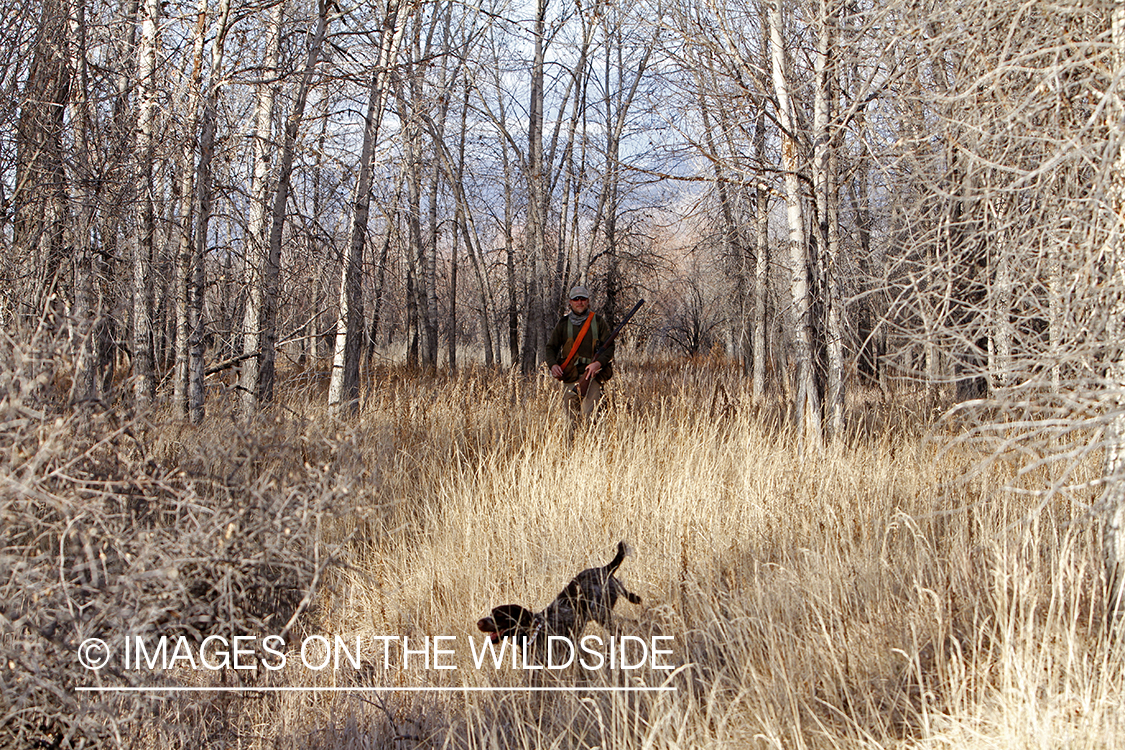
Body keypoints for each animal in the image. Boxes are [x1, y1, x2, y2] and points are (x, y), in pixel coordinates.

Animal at [477, 541, 643, 652]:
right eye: (491, 613)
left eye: (499, 616)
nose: (479, 623)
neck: (534, 630)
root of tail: (605, 568)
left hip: (601, 614)